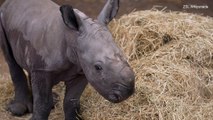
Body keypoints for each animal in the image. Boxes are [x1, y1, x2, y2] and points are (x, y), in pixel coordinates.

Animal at [0, 0, 135, 119]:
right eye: (98, 67)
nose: (127, 92)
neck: (73, 38)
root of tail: (9, 3)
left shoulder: (81, 70)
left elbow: (71, 102)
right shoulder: (43, 69)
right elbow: (43, 104)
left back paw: (53, 101)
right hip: (2, 18)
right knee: (11, 61)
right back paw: (18, 109)